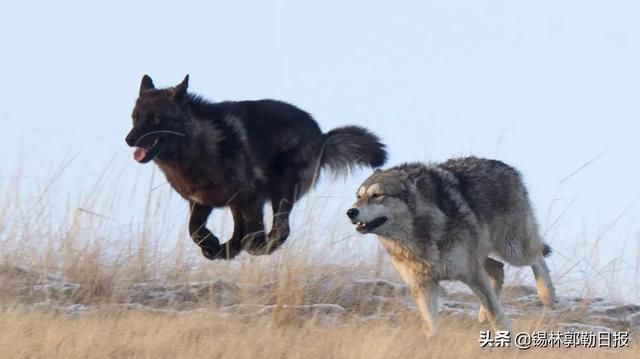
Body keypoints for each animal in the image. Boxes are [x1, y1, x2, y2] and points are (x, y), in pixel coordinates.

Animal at [125, 75, 384, 262]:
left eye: (156, 118)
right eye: (135, 117)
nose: (129, 139)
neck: (198, 145)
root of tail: (321, 136)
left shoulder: (250, 197)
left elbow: (254, 229)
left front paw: (247, 245)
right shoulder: (200, 202)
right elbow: (194, 230)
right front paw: (211, 245)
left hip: (280, 189)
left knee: (281, 229)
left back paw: (252, 247)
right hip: (242, 202)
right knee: (246, 230)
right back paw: (227, 249)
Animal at [348, 158, 556, 338]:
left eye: (377, 195)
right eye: (358, 196)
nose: (351, 212)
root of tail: (507, 167)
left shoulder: (472, 274)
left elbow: (495, 312)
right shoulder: (423, 285)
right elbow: (431, 324)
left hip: (512, 250)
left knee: (537, 257)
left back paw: (547, 296)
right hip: (482, 256)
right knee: (498, 268)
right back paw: (482, 315)